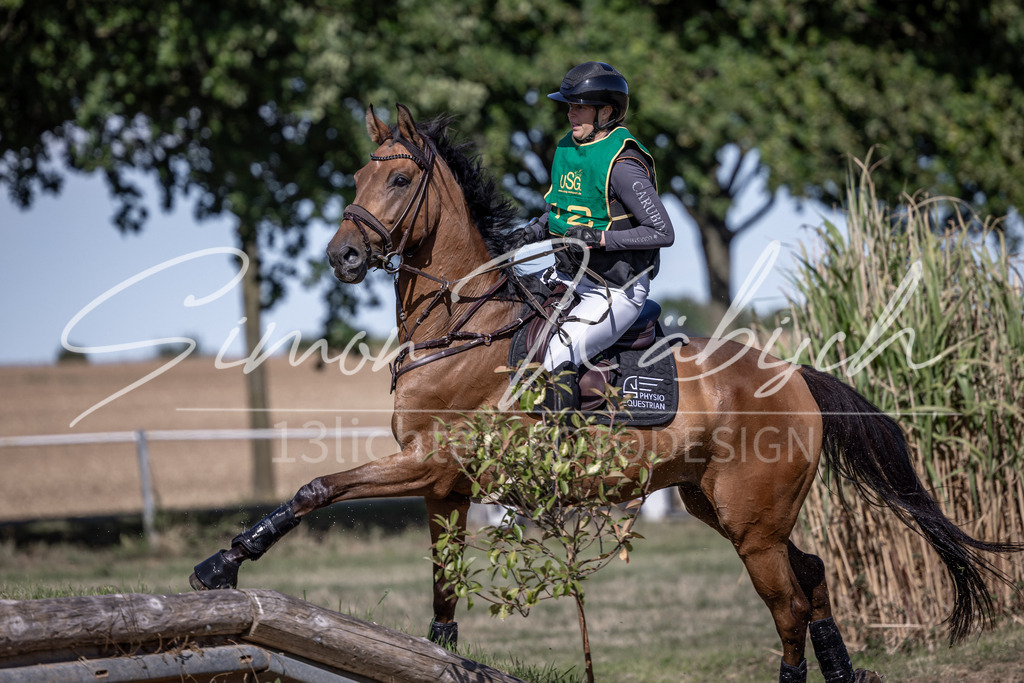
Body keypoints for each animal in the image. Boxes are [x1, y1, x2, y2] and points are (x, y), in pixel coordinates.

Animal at [191, 104, 1021, 682]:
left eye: (398, 179)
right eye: (358, 179)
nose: (343, 255)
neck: (461, 326)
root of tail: (794, 376)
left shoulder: (429, 463)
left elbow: (319, 486)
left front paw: (223, 563)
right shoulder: (446, 485)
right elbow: (443, 579)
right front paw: (439, 649)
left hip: (752, 525)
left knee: (788, 603)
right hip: (722, 506)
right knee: (813, 576)